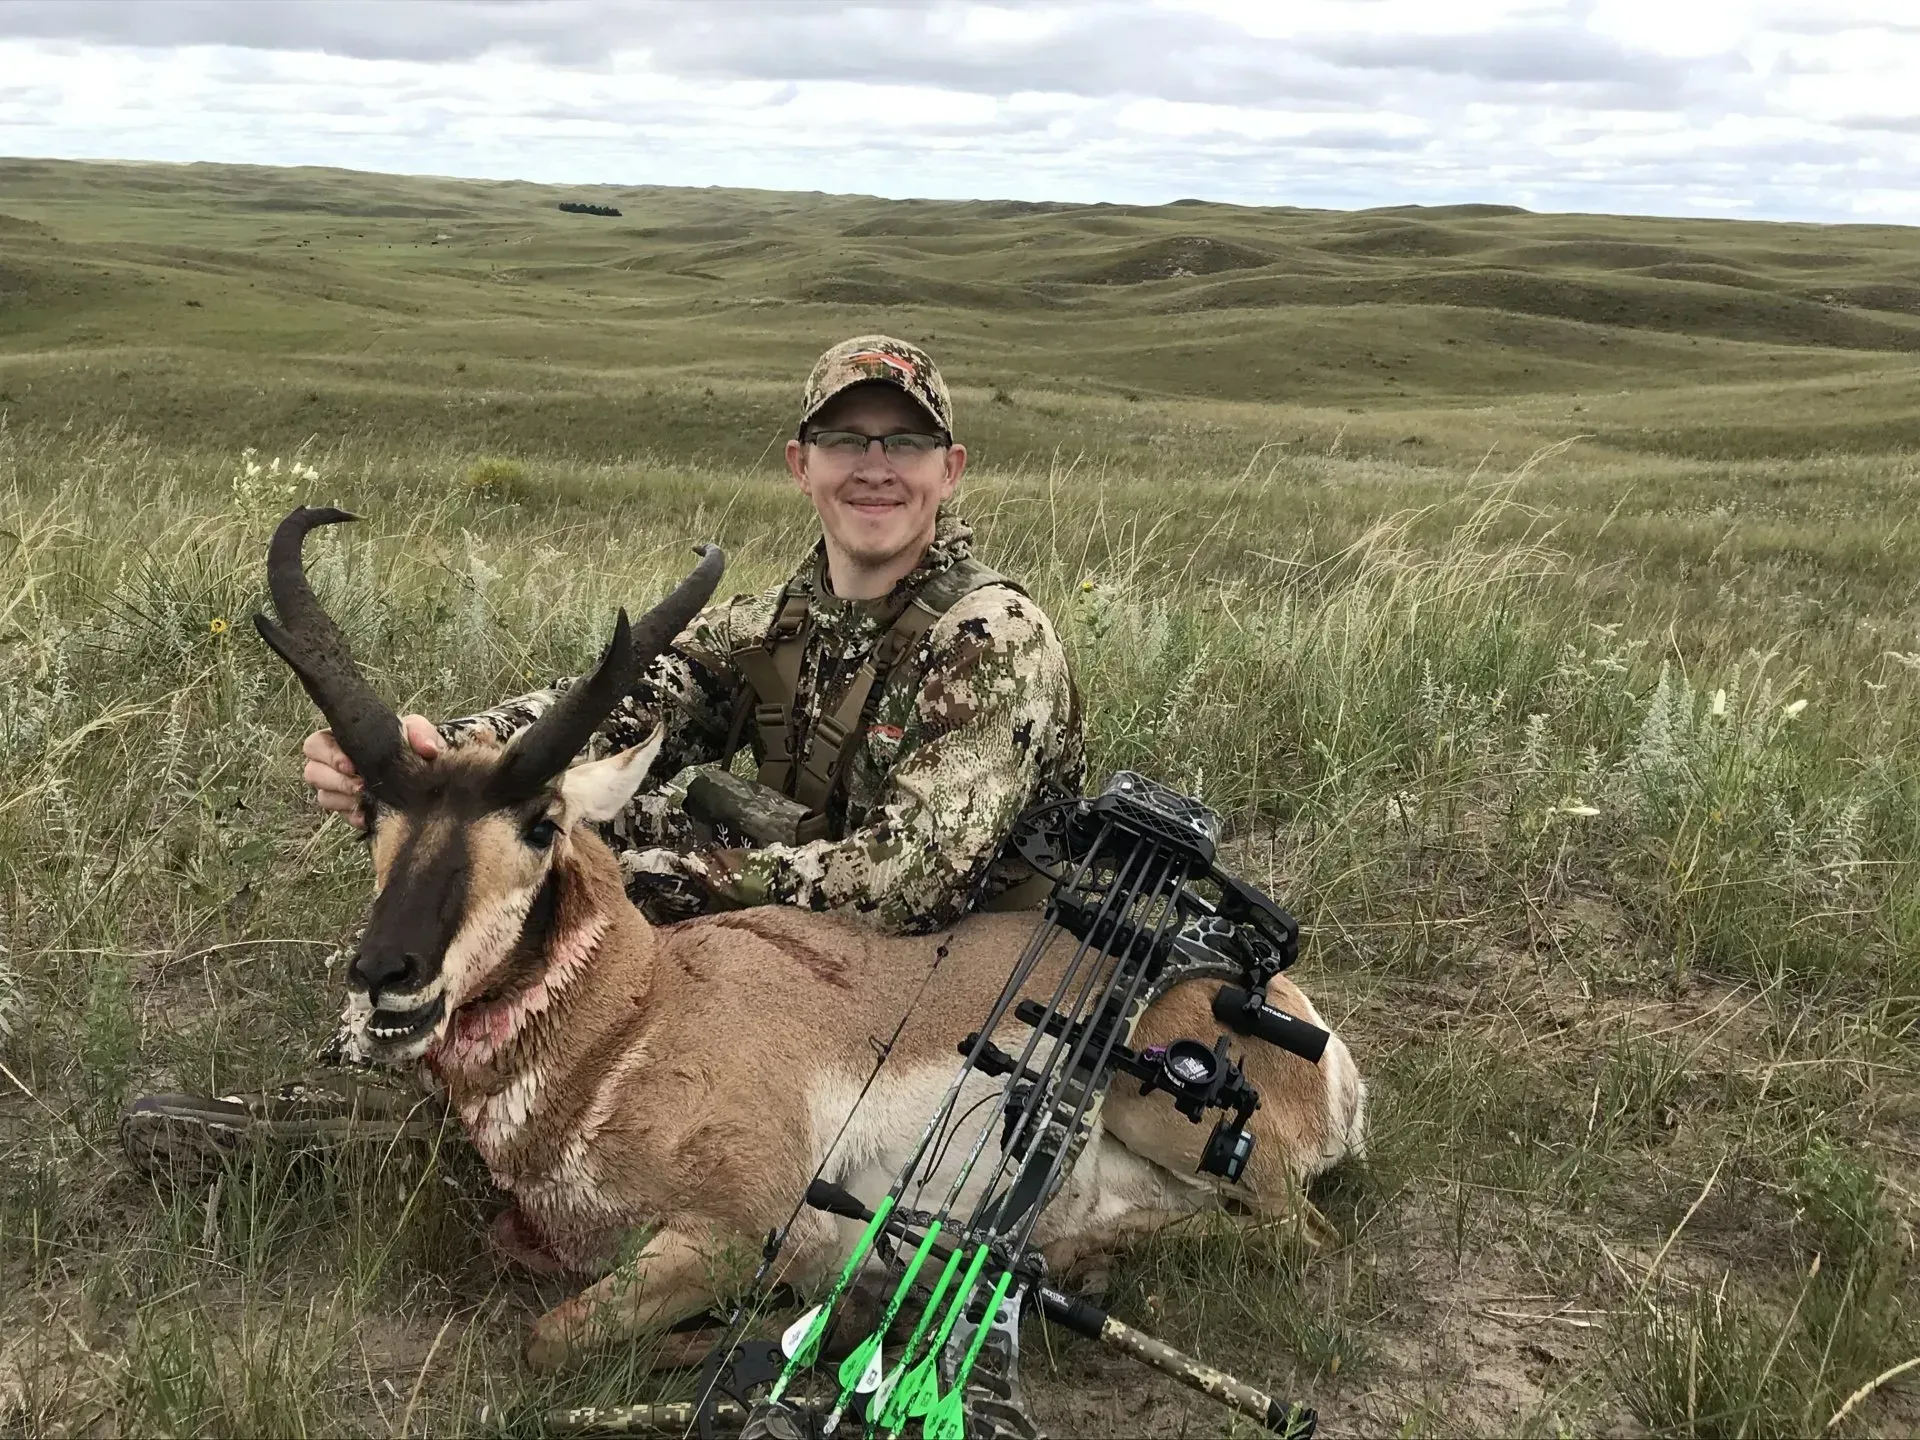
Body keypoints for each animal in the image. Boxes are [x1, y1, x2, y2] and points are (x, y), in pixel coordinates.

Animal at [256, 508, 1366, 1370]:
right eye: (372, 815)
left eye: (538, 824)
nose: (387, 976)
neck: (639, 1019)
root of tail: (1291, 1013)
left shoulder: (735, 1230)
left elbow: (546, 1340)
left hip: (1168, 1108)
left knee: (1300, 1240)